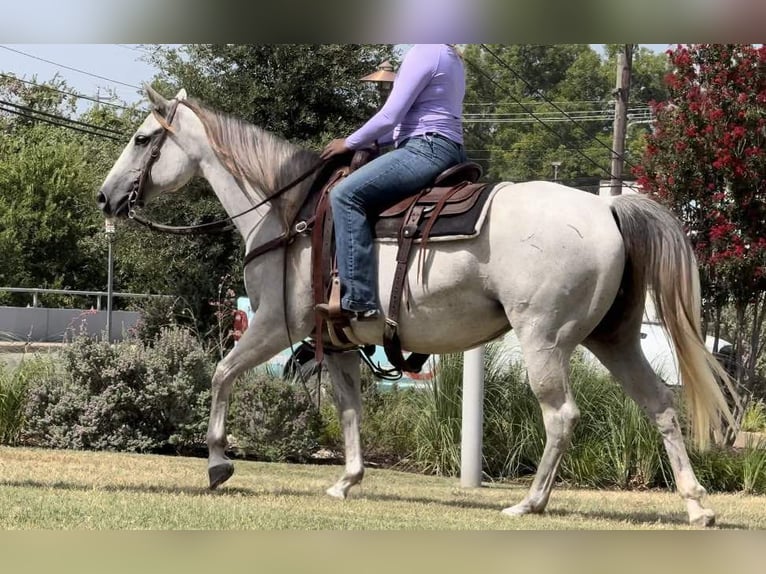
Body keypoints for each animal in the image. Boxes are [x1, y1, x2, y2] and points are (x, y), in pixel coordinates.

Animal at [97, 86, 735, 527]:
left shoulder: (276, 326)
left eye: (141, 138)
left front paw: (217, 463)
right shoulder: (338, 341)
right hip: (614, 337)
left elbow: (222, 373)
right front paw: (348, 481)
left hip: (544, 339)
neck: (289, 214)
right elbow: (349, 409)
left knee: (562, 415)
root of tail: (606, 209)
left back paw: (529, 503)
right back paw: (696, 505)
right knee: (660, 406)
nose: (105, 197)